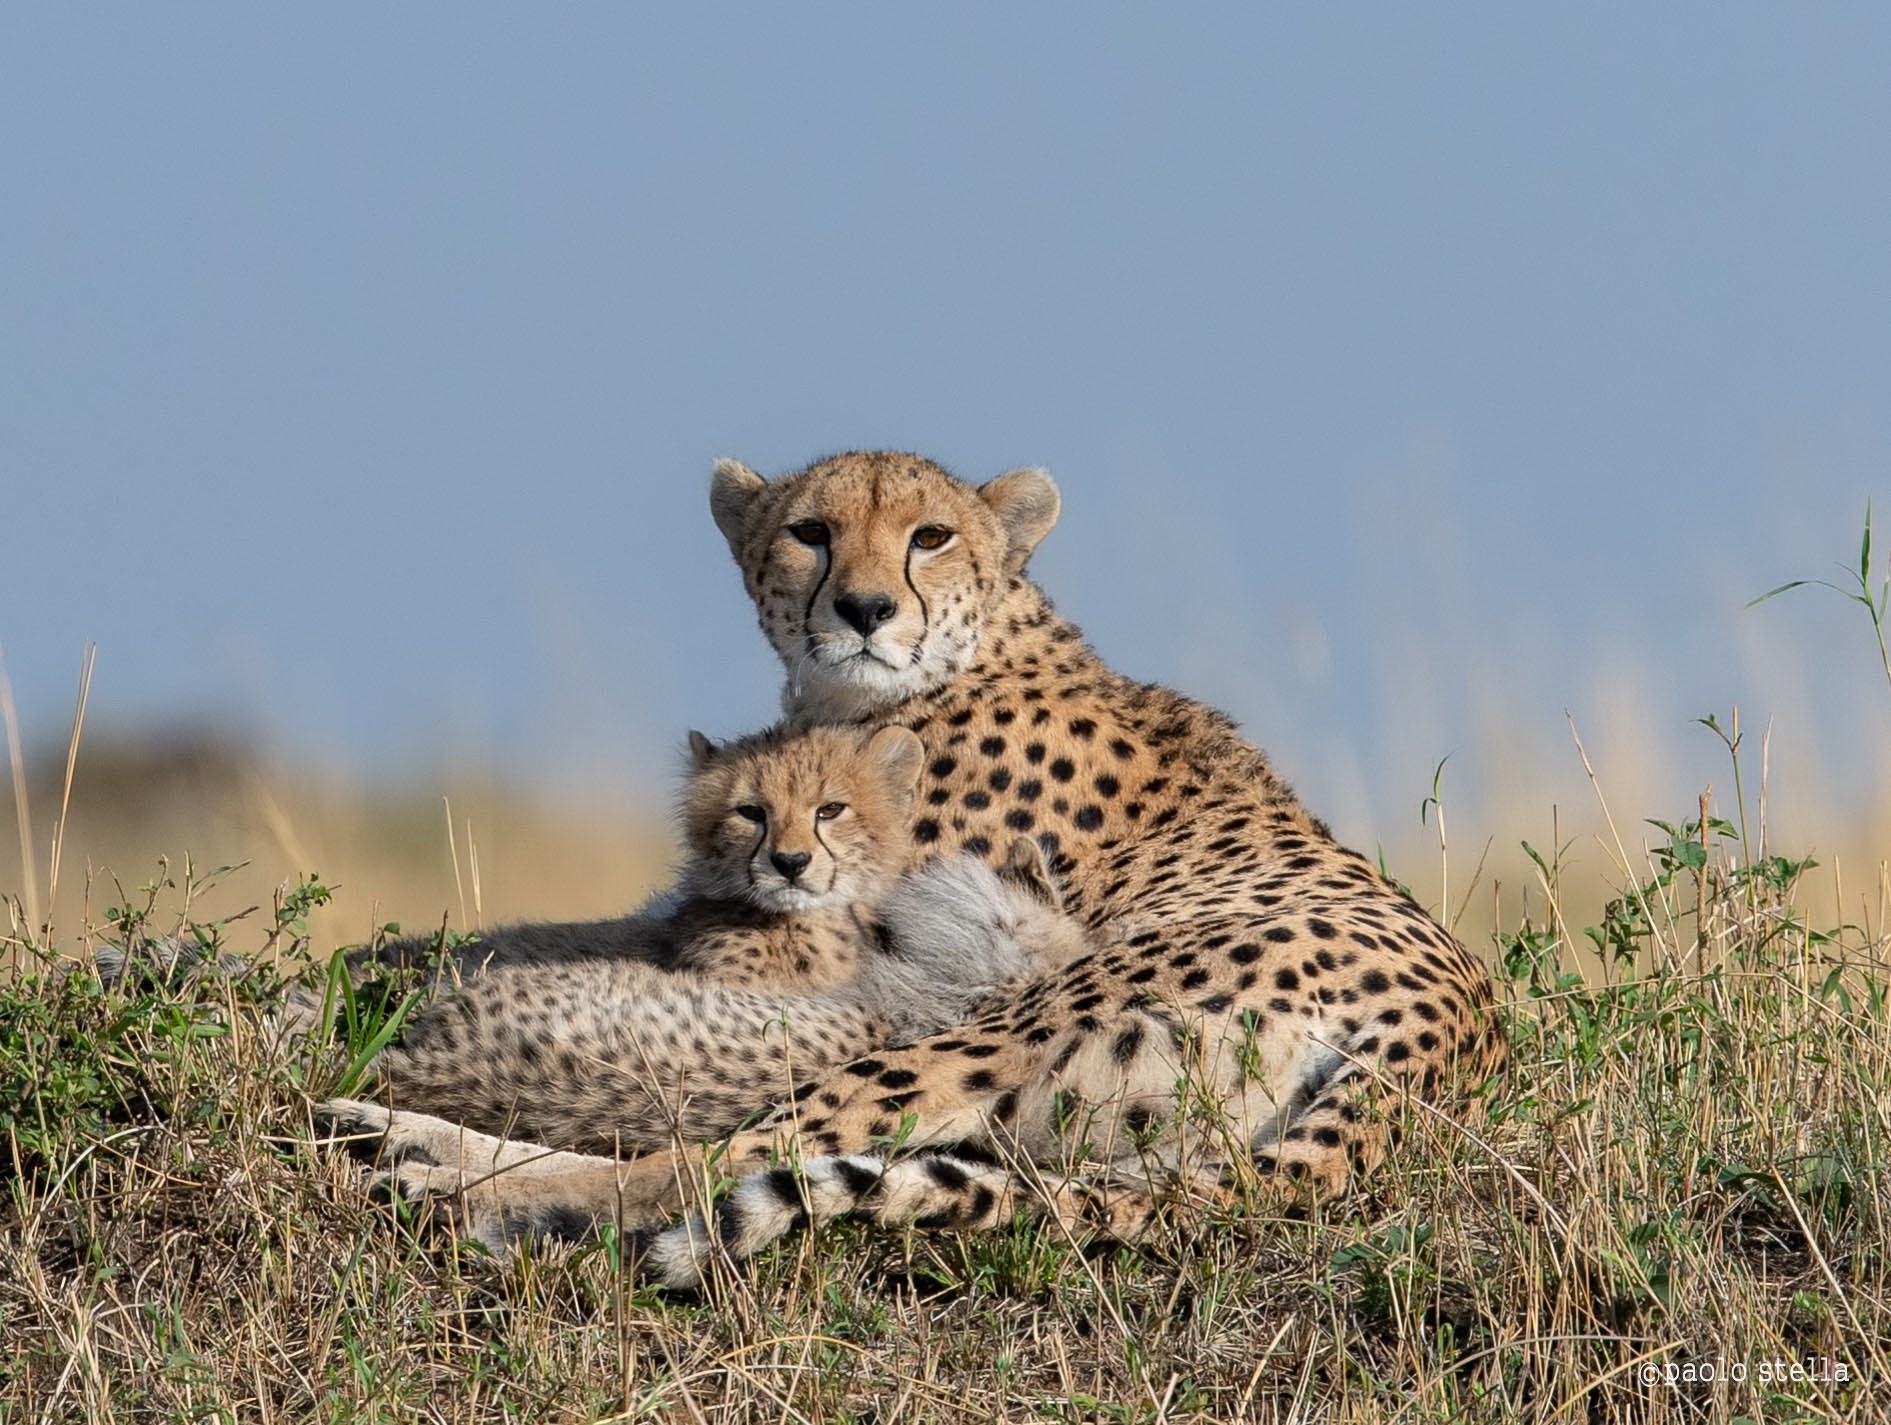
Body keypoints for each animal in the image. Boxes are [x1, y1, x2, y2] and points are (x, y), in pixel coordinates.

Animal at [321, 450, 1507, 1287]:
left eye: (928, 536)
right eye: (809, 532)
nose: (864, 609)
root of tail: (1446, 1036)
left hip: (995, 1031)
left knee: (703, 1160)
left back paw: (448, 1176)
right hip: (1113, 1146)